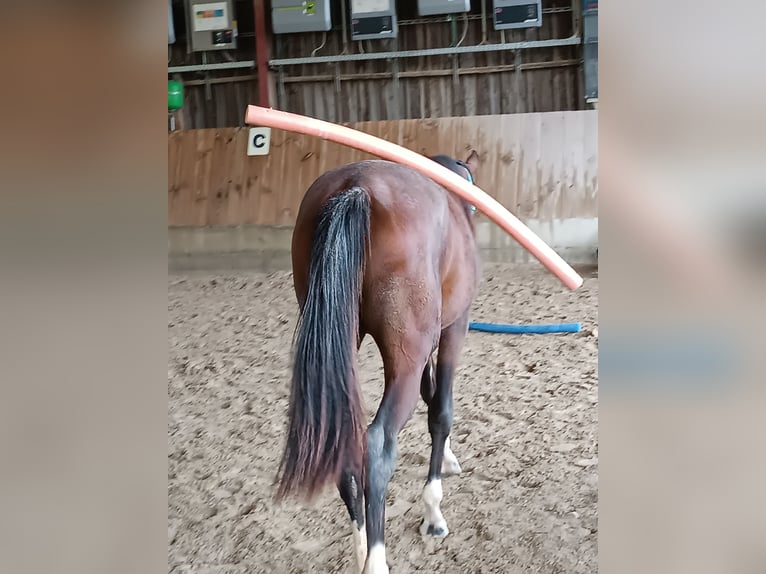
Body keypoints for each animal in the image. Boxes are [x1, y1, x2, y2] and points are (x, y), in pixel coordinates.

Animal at [276, 151, 480, 572]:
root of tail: (356, 187)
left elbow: (431, 396)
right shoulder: (454, 328)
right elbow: (441, 409)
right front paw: (433, 510)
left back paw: (360, 551)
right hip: (409, 353)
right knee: (378, 444)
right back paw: (376, 558)